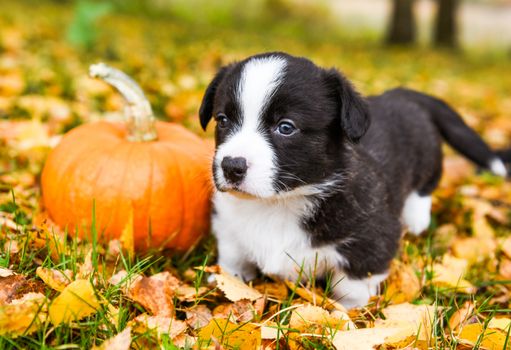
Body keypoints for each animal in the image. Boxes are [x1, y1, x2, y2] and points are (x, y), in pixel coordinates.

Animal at [198, 52, 506, 308]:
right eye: (223, 120)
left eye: (286, 127)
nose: (231, 166)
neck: (279, 203)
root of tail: (404, 94)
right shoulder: (228, 228)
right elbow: (233, 261)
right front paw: (228, 283)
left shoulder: (369, 242)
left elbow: (351, 286)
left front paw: (348, 314)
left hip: (426, 157)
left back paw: (416, 217)